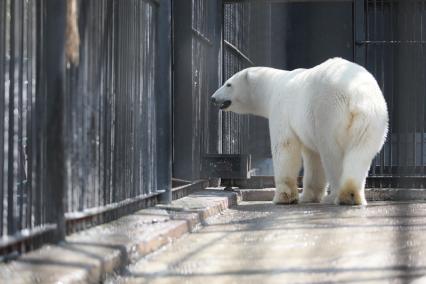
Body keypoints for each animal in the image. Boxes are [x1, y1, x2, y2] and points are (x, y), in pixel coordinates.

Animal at [211, 57, 388, 205]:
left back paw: (335, 196)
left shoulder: (282, 109)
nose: (213, 98)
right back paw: (351, 195)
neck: (272, 86)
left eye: (228, 84)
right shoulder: (307, 126)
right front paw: (308, 196)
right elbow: (313, 157)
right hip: (372, 119)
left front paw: (283, 197)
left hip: (328, 112)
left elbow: (285, 147)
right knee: (360, 153)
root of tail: (357, 96)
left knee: (332, 154)